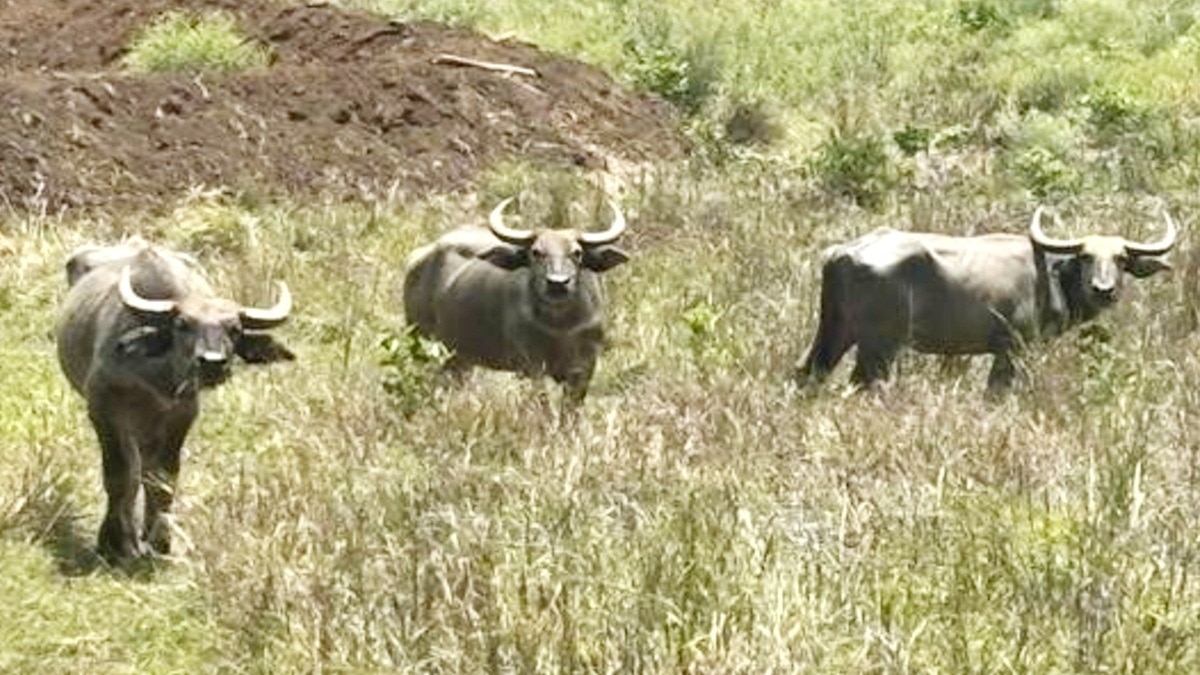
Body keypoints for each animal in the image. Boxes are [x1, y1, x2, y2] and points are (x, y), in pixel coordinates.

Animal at [56, 240, 294, 560]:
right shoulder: (103, 409)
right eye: (182, 324)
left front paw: (159, 540)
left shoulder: (181, 415)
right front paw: (115, 543)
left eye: (234, 329)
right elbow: (119, 475)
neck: (154, 376)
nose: (213, 363)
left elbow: (164, 477)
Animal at [403, 197, 629, 403]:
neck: (560, 327)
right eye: (536, 252)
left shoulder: (584, 368)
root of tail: (417, 259)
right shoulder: (530, 365)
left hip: (459, 358)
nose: (557, 283)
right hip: (419, 342)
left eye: (577, 253)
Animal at [794, 207, 1177, 394]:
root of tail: (843, 252)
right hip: (879, 346)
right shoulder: (1012, 349)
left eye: (1121, 259)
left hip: (834, 330)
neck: (1049, 275)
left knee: (808, 372)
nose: (1103, 289)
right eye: (1085, 256)